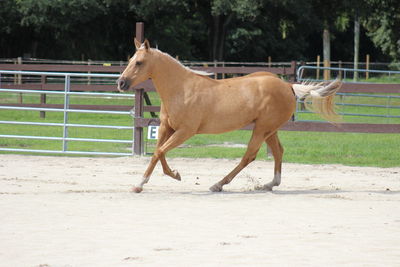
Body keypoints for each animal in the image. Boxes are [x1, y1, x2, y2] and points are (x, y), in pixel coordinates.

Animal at [116, 39, 340, 194]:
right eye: (130, 60)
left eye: (139, 62)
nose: (121, 83)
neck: (181, 89)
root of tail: (288, 86)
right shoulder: (166, 127)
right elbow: (158, 153)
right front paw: (152, 180)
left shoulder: (185, 131)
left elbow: (160, 151)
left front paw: (157, 180)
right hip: (269, 129)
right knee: (278, 152)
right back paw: (269, 184)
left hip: (262, 129)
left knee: (249, 155)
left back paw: (218, 184)